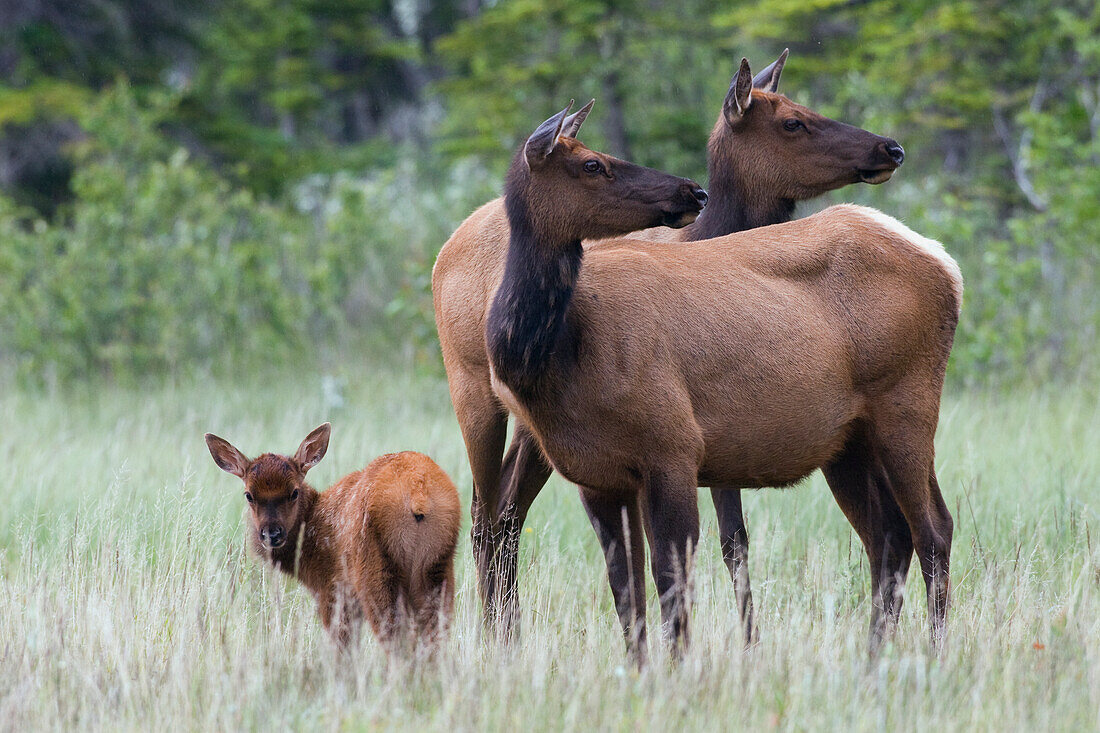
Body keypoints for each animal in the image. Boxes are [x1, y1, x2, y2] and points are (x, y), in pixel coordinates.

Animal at [204, 422, 462, 651]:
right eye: (249, 494)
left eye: (294, 492)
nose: (272, 534)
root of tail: (418, 493)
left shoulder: (332, 590)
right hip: (438, 566)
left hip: (374, 571)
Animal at [433, 48, 906, 638]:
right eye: (792, 122)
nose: (890, 147)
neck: (708, 235)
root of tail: (445, 250)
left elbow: (731, 542)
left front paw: (749, 641)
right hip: (473, 392)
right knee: (483, 516)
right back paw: (497, 633)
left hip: (530, 427)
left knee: (506, 513)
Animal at [490, 100, 963, 660]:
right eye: (591, 164)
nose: (690, 190)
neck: (558, 356)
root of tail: (946, 263)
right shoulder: (597, 477)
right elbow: (627, 595)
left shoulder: (673, 448)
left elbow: (672, 583)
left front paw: (680, 667)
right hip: (848, 441)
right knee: (889, 535)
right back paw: (873, 655)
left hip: (907, 405)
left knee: (934, 529)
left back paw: (935, 653)